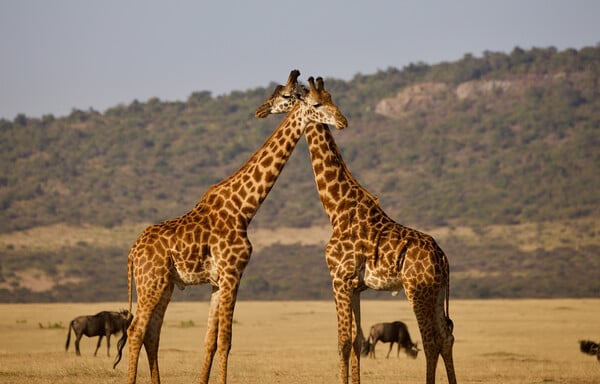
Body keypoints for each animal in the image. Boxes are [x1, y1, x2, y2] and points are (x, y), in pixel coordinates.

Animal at [121, 70, 346, 384]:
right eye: (314, 103)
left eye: (330, 98)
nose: (342, 120)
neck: (244, 209)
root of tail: (132, 252)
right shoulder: (232, 273)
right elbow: (226, 340)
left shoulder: (218, 281)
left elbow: (210, 341)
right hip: (150, 283)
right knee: (135, 331)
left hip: (163, 285)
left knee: (152, 334)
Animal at [255, 76, 458, 384]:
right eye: (320, 101)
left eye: (285, 95)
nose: (262, 109)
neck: (336, 208)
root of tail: (443, 257)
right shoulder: (356, 287)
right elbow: (357, 341)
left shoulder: (338, 278)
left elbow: (342, 342)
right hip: (436, 292)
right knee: (447, 337)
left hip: (418, 289)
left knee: (431, 340)